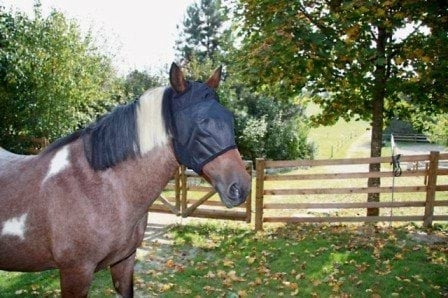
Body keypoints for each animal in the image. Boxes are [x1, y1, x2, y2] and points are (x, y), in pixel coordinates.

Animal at [0, 62, 252, 296]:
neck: (99, 188)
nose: (241, 188)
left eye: (229, 118)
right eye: (199, 123)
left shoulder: (125, 260)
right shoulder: (76, 272)